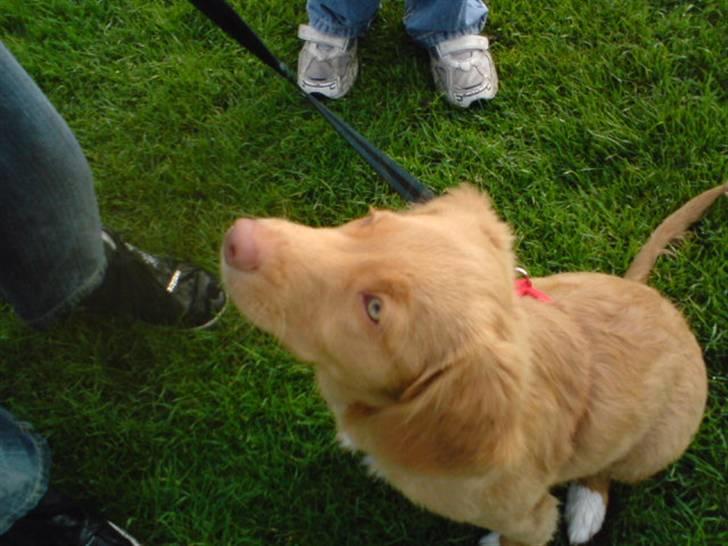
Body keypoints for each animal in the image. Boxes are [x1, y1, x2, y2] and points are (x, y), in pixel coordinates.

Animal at [219, 184, 724, 544]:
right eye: (369, 220)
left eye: (375, 309)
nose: (237, 239)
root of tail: (654, 296)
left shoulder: (530, 517)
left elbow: (515, 536)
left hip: (654, 446)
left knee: (608, 468)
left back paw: (587, 508)